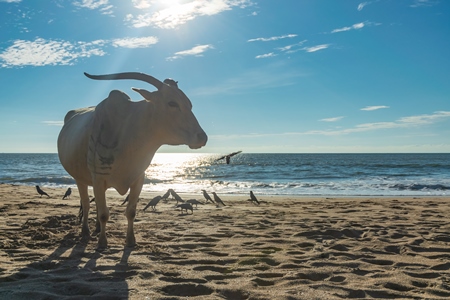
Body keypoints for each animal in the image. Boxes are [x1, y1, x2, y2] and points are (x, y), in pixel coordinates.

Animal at [56, 72, 209, 248]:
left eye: (189, 104)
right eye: (172, 103)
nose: (202, 137)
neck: (128, 131)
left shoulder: (138, 178)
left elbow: (131, 212)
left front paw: (130, 241)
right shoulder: (99, 178)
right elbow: (104, 214)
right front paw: (102, 242)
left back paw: (96, 229)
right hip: (80, 179)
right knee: (87, 204)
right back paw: (86, 231)